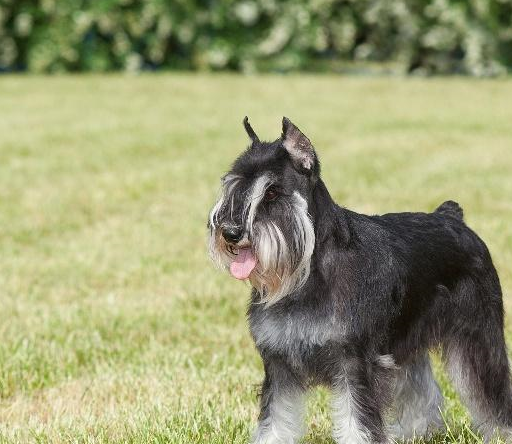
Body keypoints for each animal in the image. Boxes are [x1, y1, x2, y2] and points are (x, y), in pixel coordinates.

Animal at [207, 116, 512, 442]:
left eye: (273, 192)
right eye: (234, 186)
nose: (230, 232)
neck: (307, 274)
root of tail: (453, 216)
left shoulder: (354, 362)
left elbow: (357, 421)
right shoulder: (278, 364)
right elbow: (275, 420)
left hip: (478, 336)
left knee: (491, 388)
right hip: (406, 336)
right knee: (419, 384)